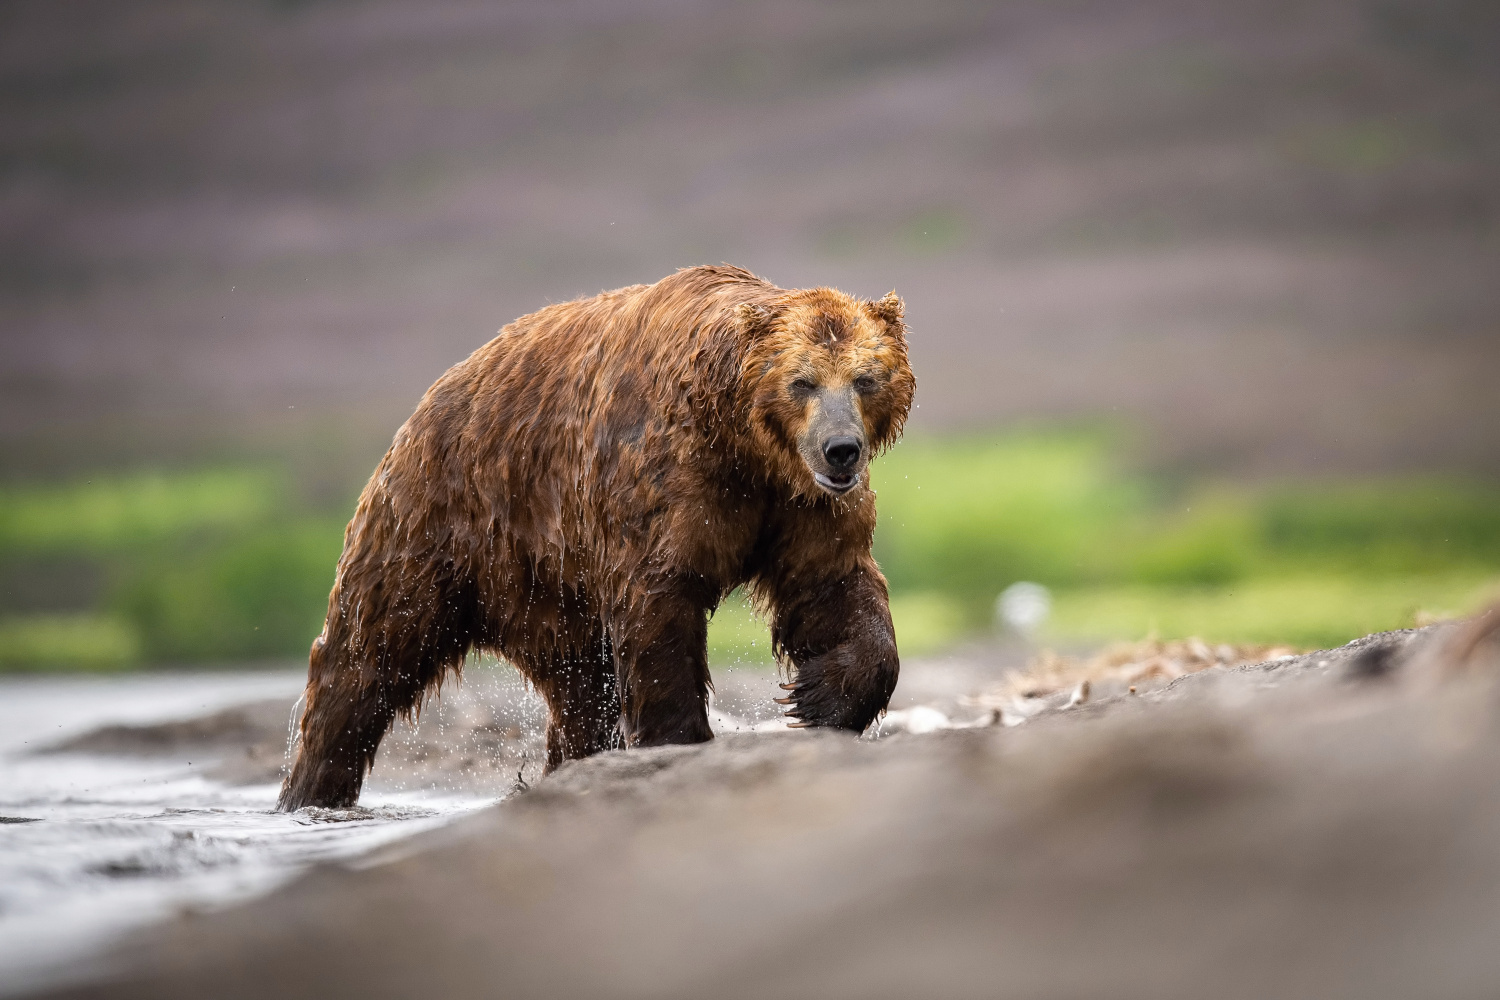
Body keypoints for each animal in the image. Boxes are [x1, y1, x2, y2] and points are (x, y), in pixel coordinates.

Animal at [279, 262, 912, 809]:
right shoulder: (662, 486)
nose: (840, 449)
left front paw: (817, 697)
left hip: (547, 587)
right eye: (802, 382)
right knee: (367, 656)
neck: (742, 443)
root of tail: (430, 398)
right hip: (439, 521)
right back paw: (309, 790)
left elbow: (832, 585)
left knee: (579, 688)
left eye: (865, 378)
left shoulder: (796, 505)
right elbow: (659, 608)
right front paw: (681, 737)